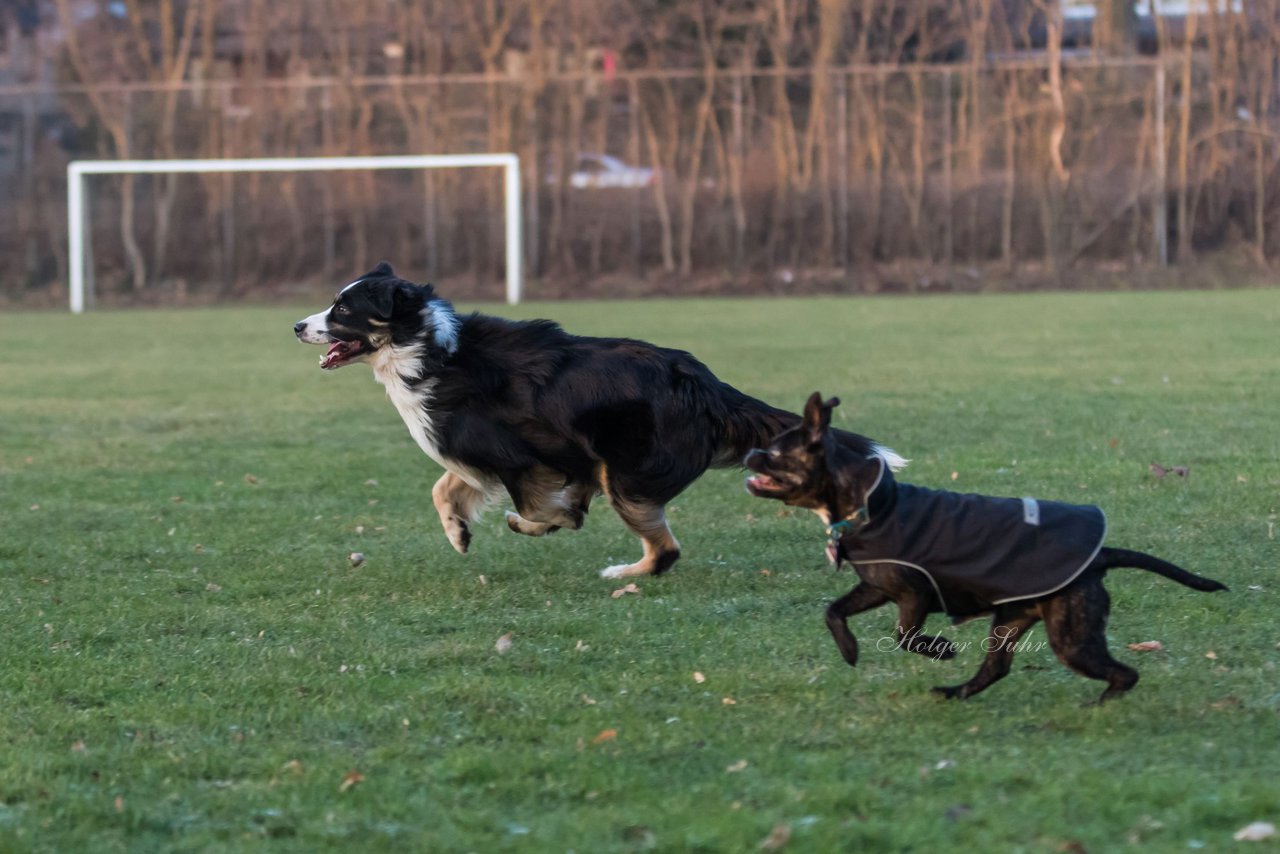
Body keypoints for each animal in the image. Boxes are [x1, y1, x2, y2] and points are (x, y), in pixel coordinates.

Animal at [747, 391, 1223, 701]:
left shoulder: (913, 593)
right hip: (1011, 621)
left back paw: (1103, 703)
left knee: (1125, 674)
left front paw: (939, 650)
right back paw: (957, 692)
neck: (866, 500)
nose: (751, 453)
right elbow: (833, 611)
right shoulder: (877, 586)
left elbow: (903, 635)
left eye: (776, 452)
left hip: (1071, 640)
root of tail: (1099, 557)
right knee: (996, 667)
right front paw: (850, 651)